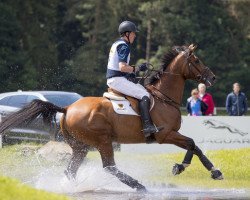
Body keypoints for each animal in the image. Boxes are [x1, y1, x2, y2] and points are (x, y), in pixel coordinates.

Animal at [0, 44, 223, 192]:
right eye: (196, 61)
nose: (212, 77)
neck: (163, 97)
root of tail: (67, 108)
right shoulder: (166, 134)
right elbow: (192, 144)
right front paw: (182, 167)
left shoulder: (171, 134)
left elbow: (195, 147)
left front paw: (212, 171)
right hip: (103, 141)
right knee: (109, 167)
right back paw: (138, 185)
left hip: (81, 147)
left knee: (71, 170)